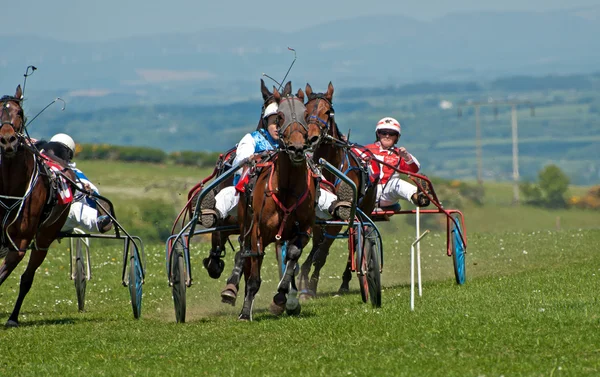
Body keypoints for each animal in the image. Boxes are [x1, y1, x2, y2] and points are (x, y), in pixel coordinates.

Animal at [0, 85, 75, 326]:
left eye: (20, 112)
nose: (7, 140)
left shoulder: (20, 243)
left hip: (45, 238)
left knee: (27, 278)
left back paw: (13, 318)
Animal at [236, 83, 322, 320]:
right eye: (280, 116)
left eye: (305, 114)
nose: (297, 148)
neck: (287, 188)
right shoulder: (256, 232)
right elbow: (254, 270)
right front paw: (245, 312)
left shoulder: (304, 230)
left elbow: (292, 256)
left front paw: (282, 297)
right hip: (245, 224)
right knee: (246, 258)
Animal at [298, 81, 380, 296]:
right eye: (306, 111)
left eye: (328, 111)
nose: (312, 137)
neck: (330, 168)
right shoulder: (318, 216)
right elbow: (316, 247)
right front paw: (304, 277)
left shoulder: (339, 216)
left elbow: (322, 253)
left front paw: (311, 287)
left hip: (364, 209)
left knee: (355, 238)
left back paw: (344, 282)